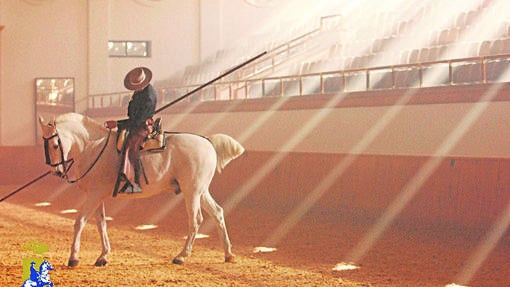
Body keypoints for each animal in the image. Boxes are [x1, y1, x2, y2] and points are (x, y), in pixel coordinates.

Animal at [36, 113, 244, 268]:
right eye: (44, 144)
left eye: (55, 144)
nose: (57, 171)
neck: (93, 146)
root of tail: (207, 141)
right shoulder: (98, 196)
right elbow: (101, 224)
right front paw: (103, 256)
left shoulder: (93, 196)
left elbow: (79, 222)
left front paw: (73, 258)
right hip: (201, 191)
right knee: (217, 213)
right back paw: (228, 254)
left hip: (191, 192)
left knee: (196, 220)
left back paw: (181, 256)